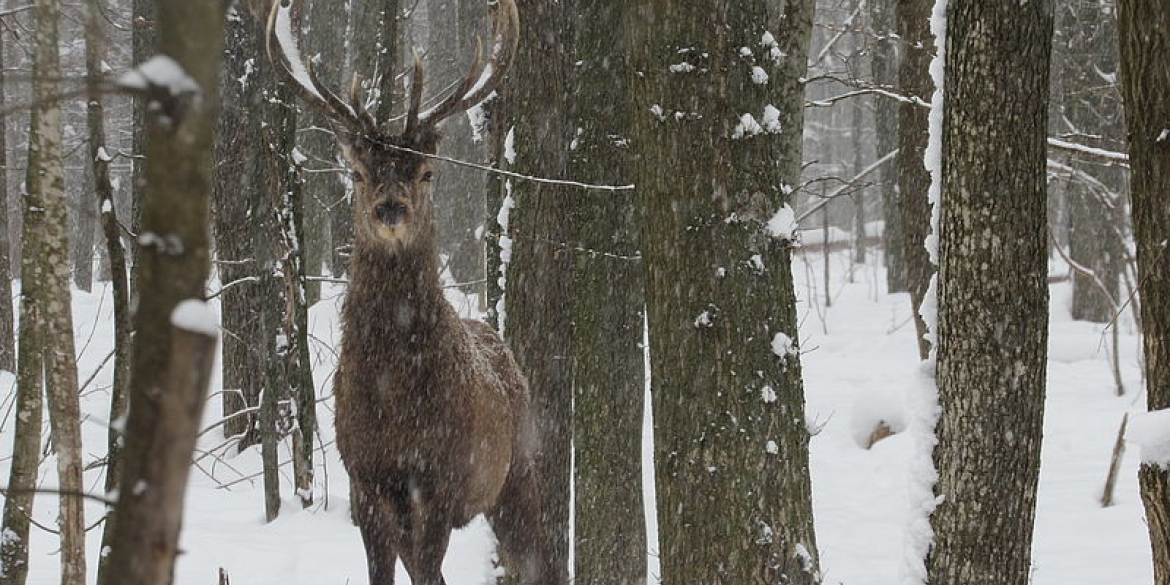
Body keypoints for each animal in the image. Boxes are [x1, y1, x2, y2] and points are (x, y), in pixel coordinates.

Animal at [267, 2, 554, 582]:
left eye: (424, 172)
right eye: (358, 172)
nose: (390, 207)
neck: (398, 408)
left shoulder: (440, 482)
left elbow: (427, 570)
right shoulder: (366, 480)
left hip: (516, 471)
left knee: (541, 558)